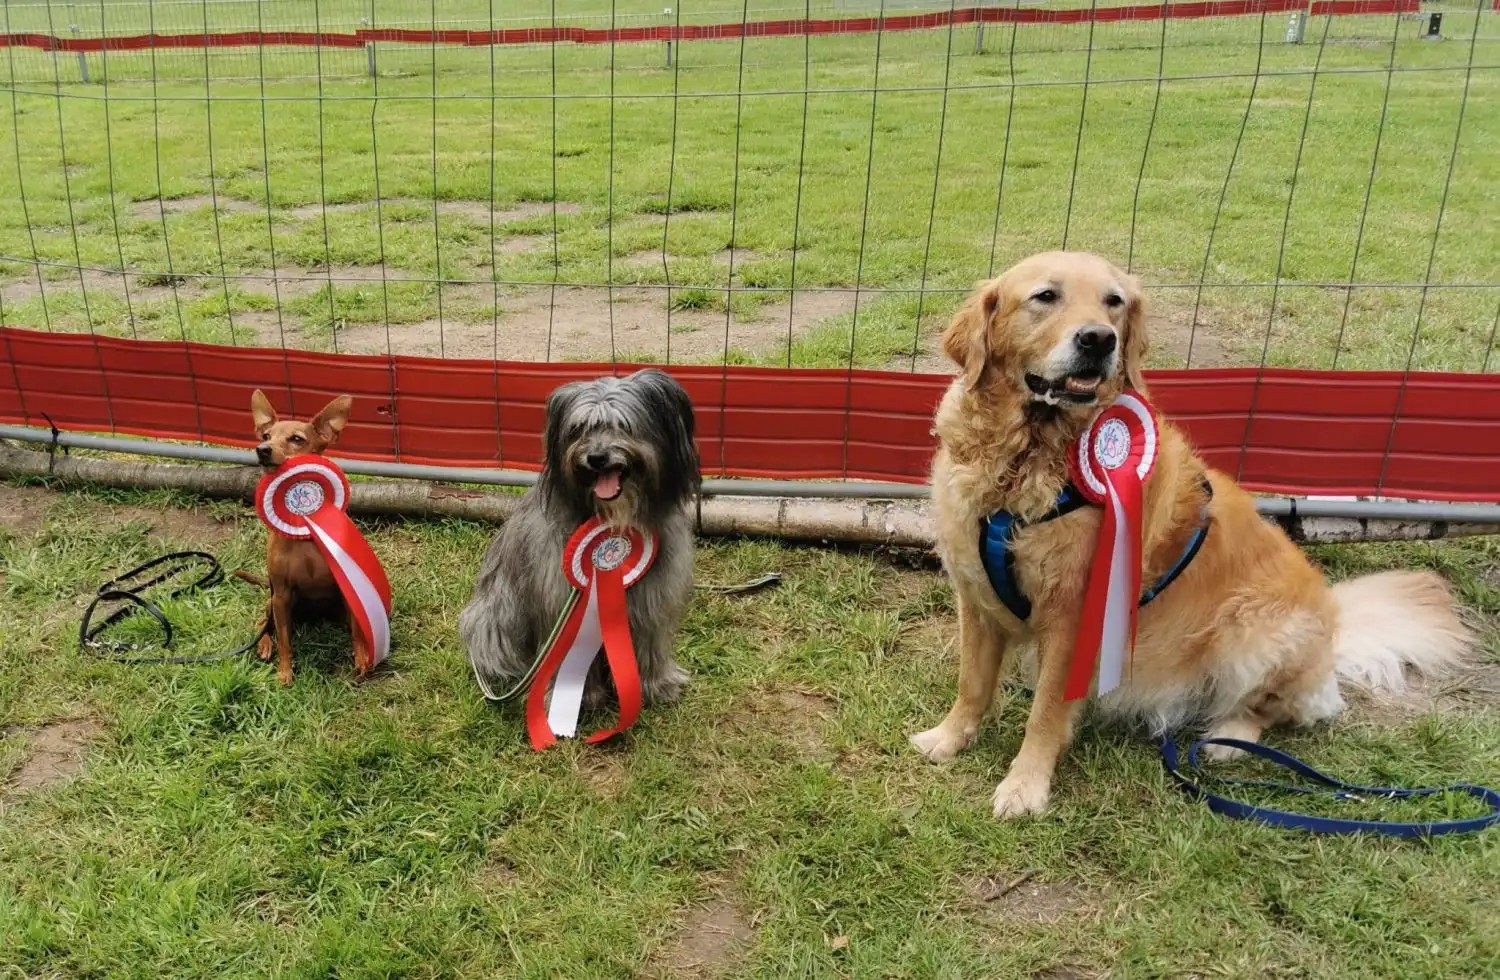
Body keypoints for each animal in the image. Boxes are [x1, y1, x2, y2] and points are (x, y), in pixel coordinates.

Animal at [244, 387, 373, 684]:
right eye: (266, 436)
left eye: (296, 439)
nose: (263, 450)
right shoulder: (281, 595)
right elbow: (284, 641)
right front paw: (285, 671)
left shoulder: (348, 589)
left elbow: (358, 631)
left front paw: (361, 659)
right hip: (272, 601)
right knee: (263, 623)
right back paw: (263, 644)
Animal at [459, 366, 699, 711]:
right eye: (579, 429)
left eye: (623, 425)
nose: (597, 457)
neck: (614, 519)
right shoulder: (561, 599)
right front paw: (578, 695)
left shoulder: (653, 595)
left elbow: (650, 639)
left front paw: (658, 684)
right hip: (493, 618)